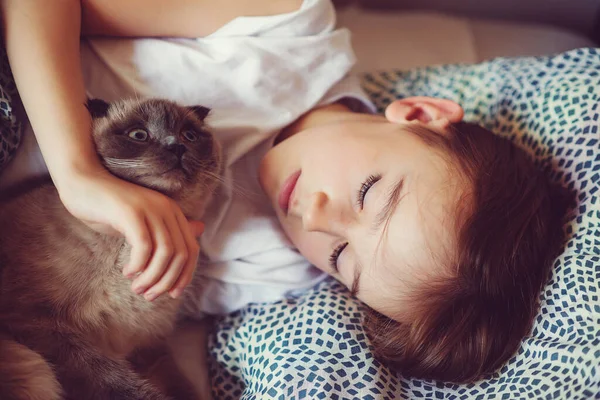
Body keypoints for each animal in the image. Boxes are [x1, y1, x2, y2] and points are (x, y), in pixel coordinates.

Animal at [0, 97, 223, 400]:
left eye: (188, 136)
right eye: (139, 135)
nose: (176, 146)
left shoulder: (148, 347)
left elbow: (182, 389)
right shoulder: (38, 324)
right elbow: (118, 383)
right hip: (31, 368)